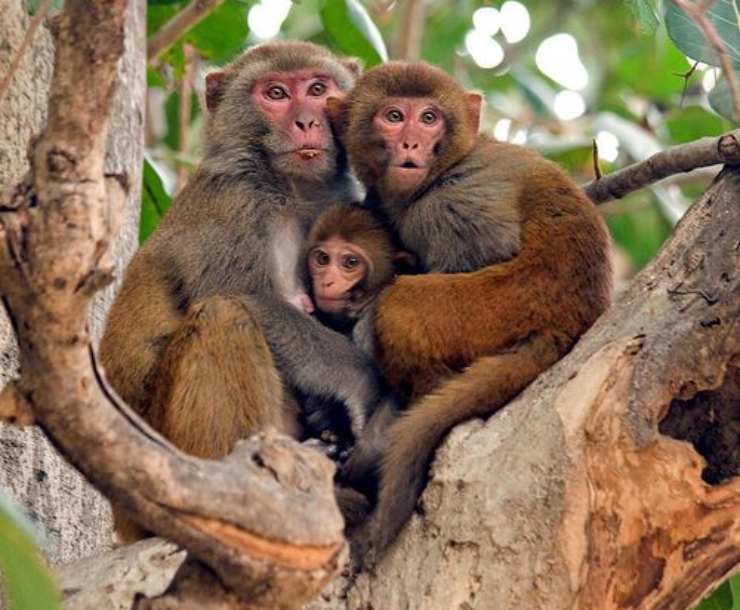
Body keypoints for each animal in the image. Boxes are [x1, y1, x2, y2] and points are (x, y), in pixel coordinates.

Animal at [98, 41, 383, 543]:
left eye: (317, 89)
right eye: (276, 94)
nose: (306, 122)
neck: (292, 192)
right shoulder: (232, 205)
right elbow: (245, 297)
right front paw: (362, 385)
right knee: (223, 317)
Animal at [328, 61, 613, 549]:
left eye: (428, 118)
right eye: (393, 116)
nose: (411, 143)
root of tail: (569, 323)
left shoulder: (452, 201)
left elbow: (487, 251)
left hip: (501, 307)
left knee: (401, 303)